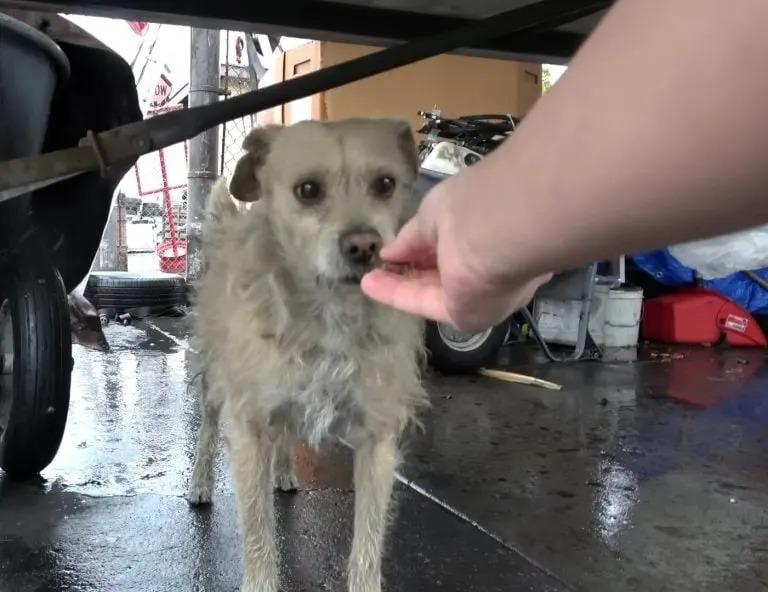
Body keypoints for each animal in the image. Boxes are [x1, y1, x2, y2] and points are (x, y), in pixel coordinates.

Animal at [186, 118, 426, 588]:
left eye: (385, 184)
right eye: (308, 190)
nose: (364, 245)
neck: (329, 313)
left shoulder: (378, 442)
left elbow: (367, 545)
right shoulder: (250, 429)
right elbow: (258, 537)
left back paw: (283, 472)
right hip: (213, 381)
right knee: (205, 432)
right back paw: (200, 484)